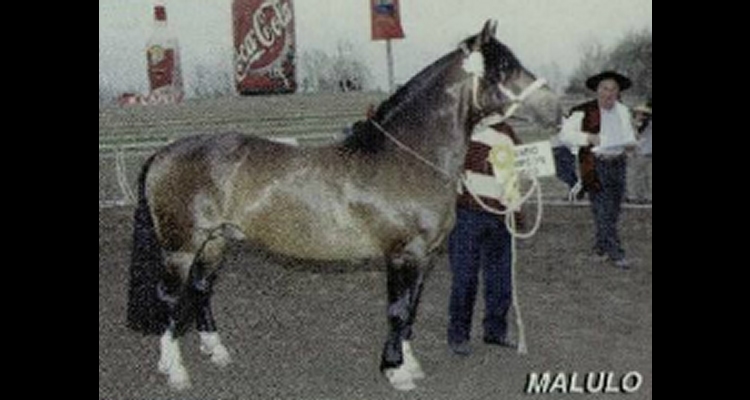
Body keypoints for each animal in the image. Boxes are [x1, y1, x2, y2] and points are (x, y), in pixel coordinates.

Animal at [128, 20, 564, 392]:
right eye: (504, 69)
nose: (557, 110)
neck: (405, 158)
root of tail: (164, 153)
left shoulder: (424, 257)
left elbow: (411, 311)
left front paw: (410, 364)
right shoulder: (403, 254)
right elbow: (397, 310)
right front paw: (395, 371)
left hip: (215, 242)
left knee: (201, 289)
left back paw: (216, 351)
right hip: (181, 248)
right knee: (170, 298)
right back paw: (175, 371)